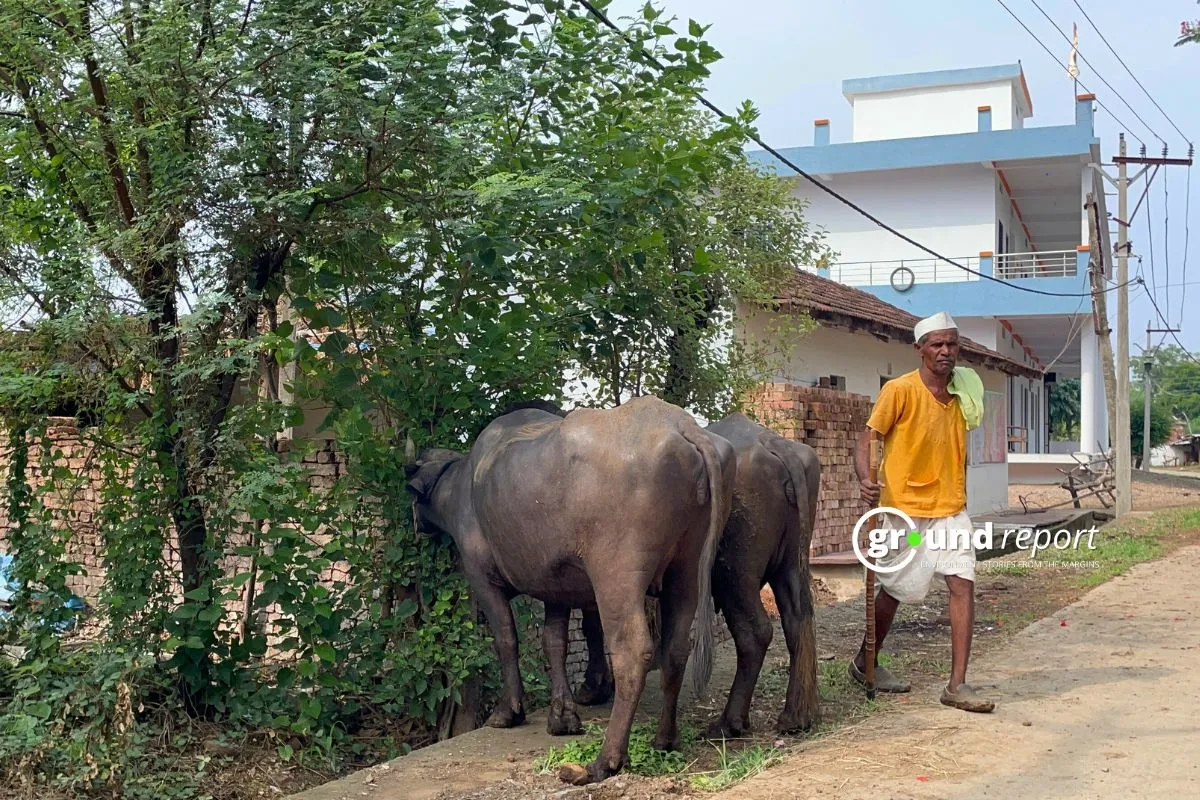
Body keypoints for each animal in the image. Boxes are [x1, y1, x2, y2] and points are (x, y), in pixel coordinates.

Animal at [403, 398, 734, 786]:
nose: (416, 524)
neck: (462, 485)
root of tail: (681, 424)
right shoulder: (555, 587)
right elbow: (554, 643)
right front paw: (562, 716)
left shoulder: (482, 579)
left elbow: (506, 639)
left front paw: (509, 710)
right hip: (686, 572)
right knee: (676, 650)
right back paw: (665, 739)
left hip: (617, 577)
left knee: (632, 651)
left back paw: (605, 760)